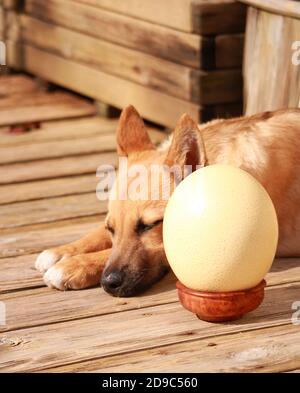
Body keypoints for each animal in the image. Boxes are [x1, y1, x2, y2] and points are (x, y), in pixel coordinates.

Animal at [35, 105, 300, 296]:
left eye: (150, 225)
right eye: (111, 228)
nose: (109, 284)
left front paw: (74, 265)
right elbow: (96, 236)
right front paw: (63, 252)